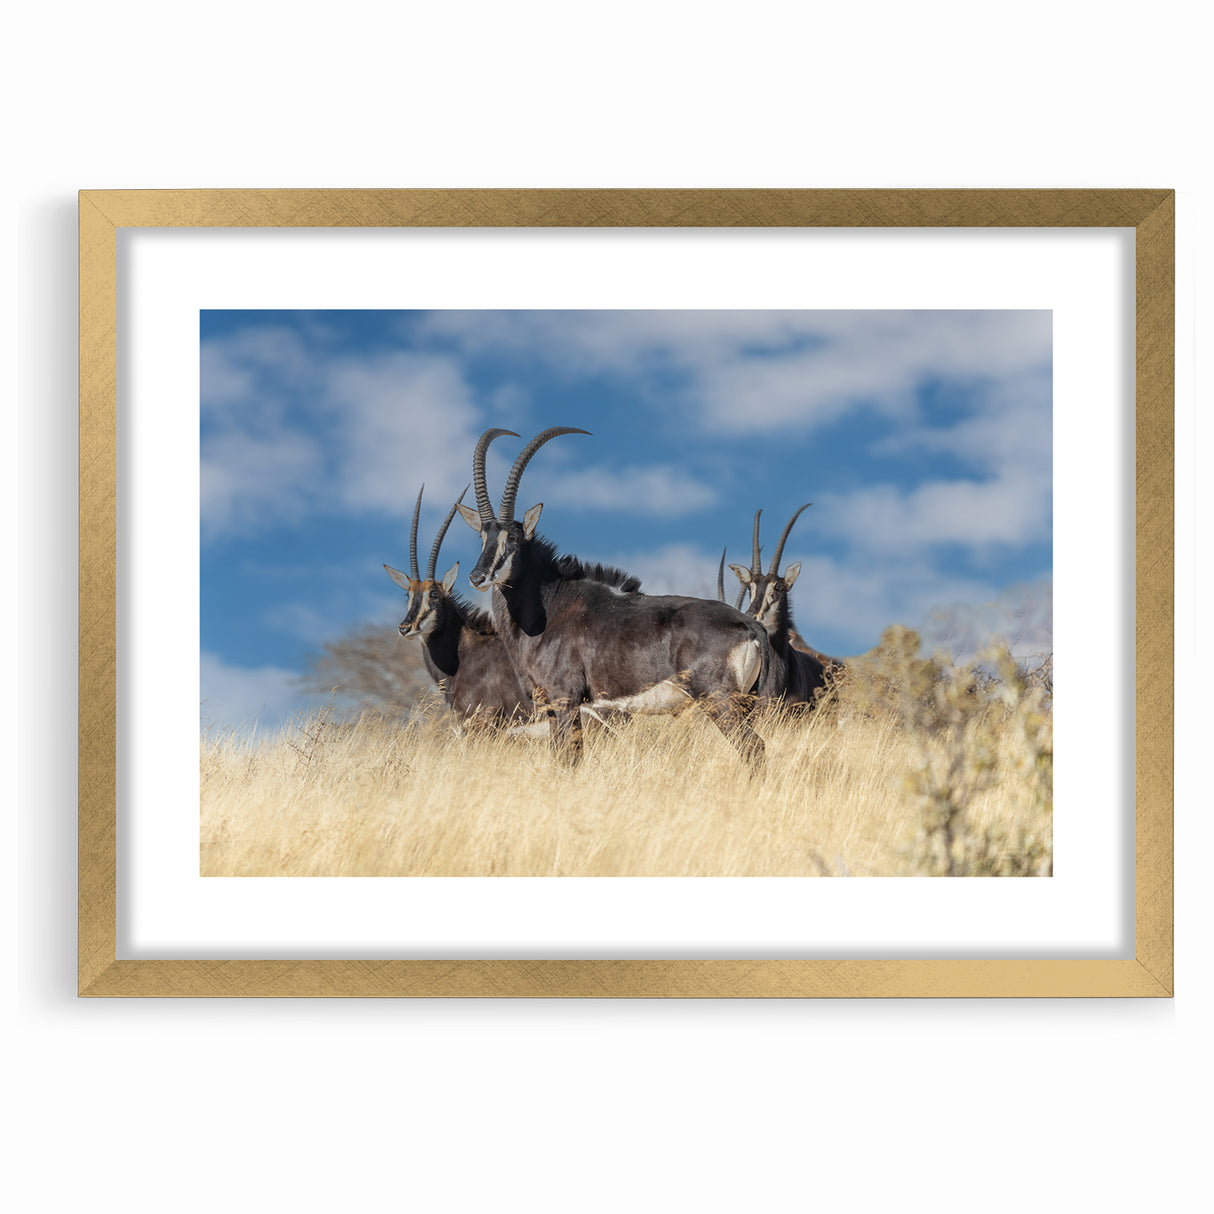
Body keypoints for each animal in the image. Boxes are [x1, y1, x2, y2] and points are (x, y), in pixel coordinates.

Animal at [457, 427, 771, 768]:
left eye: (513, 537)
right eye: (482, 536)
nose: (477, 576)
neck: (549, 607)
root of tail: (751, 626)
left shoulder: (566, 698)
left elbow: (571, 757)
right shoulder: (550, 705)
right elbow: (559, 756)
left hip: (719, 699)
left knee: (753, 747)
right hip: (744, 703)